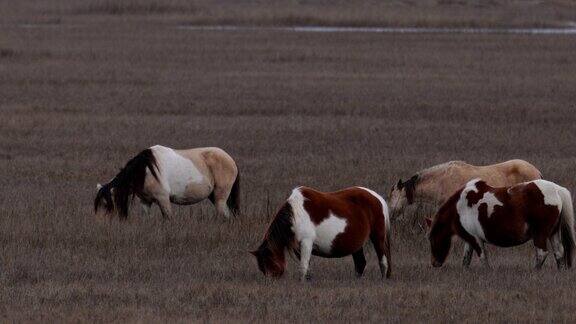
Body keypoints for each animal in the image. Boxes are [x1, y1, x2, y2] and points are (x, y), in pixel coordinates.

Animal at [95, 145, 240, 219]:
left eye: (105, 204)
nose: (100, 225)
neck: (145, 170)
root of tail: (230, 159)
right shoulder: (145, 202)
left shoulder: (163, 199)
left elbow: (167, 217)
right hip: (213, 196)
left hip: (220, 196)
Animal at [252, 187, 392, 280]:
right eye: (261, 266)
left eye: (268, 261)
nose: (270, 282)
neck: (295, 215)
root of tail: (378, 198)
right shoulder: (299, 247)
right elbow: (306, 265)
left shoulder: (306, 242)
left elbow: (303, 267)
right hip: (357, 245)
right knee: (360, 263)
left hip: (378, 237)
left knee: (383, 260)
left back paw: (383, 279)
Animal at [426, 178, 572, 270]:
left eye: (432, 237)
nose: (434, 263)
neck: (459, 208)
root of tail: (557, 190)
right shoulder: (470, 240)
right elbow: (466, 260)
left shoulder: (476, 239)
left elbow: (483, 258)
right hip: (553, 233)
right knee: (559, 252)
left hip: (540, 234)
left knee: (542, 253)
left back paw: (535, 270)